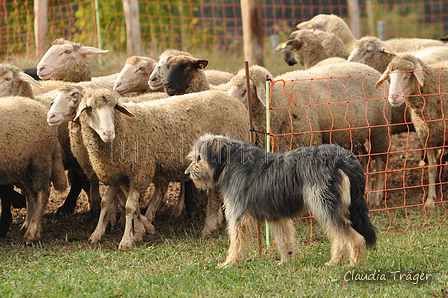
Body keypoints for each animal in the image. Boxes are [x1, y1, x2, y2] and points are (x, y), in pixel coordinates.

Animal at [0, 96, 66, 242]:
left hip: (40, 159)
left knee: (43, 192)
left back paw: (31, 234)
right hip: (24, 166)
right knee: (31, 193)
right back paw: (35, 229)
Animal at [72, 88, 250, 249]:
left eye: (115, 107)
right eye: (89, 108)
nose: (109, 134)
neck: (125, 126)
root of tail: (237, 104)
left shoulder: (140, 171)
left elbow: (130, 206)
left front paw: (127, 240)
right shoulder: (119, 175)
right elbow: (110, 202)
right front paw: (103, 233)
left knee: (215, 195)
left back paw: (209, 227)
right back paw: (212, 225)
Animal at [186, 134, 378, 268]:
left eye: (199, 158)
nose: (187, 173)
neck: (230, 161)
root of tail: (344, 159)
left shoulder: (238, 216)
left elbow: (236, 243)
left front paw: (229, 263)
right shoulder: (277, 216)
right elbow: (285, 241)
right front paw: (286, 262)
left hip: (324, 205)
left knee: (355, 238)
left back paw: (355, 264)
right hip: (333, 208)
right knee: (340, 237)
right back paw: (335, 262)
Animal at [229, 62, 394, 207]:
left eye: (244, 91)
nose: (232, 103)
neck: (277, 101)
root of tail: (374, 70)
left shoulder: (306, 139)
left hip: (380, 130)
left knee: (380, 162)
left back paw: (376, 197)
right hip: (353, 134)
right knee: (365, 159)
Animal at [374, 54, 448, 207]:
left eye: (408, 73)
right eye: (389, 74)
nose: (393, 98)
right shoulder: (427, 137)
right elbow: (432, 168)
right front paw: (430, 200)